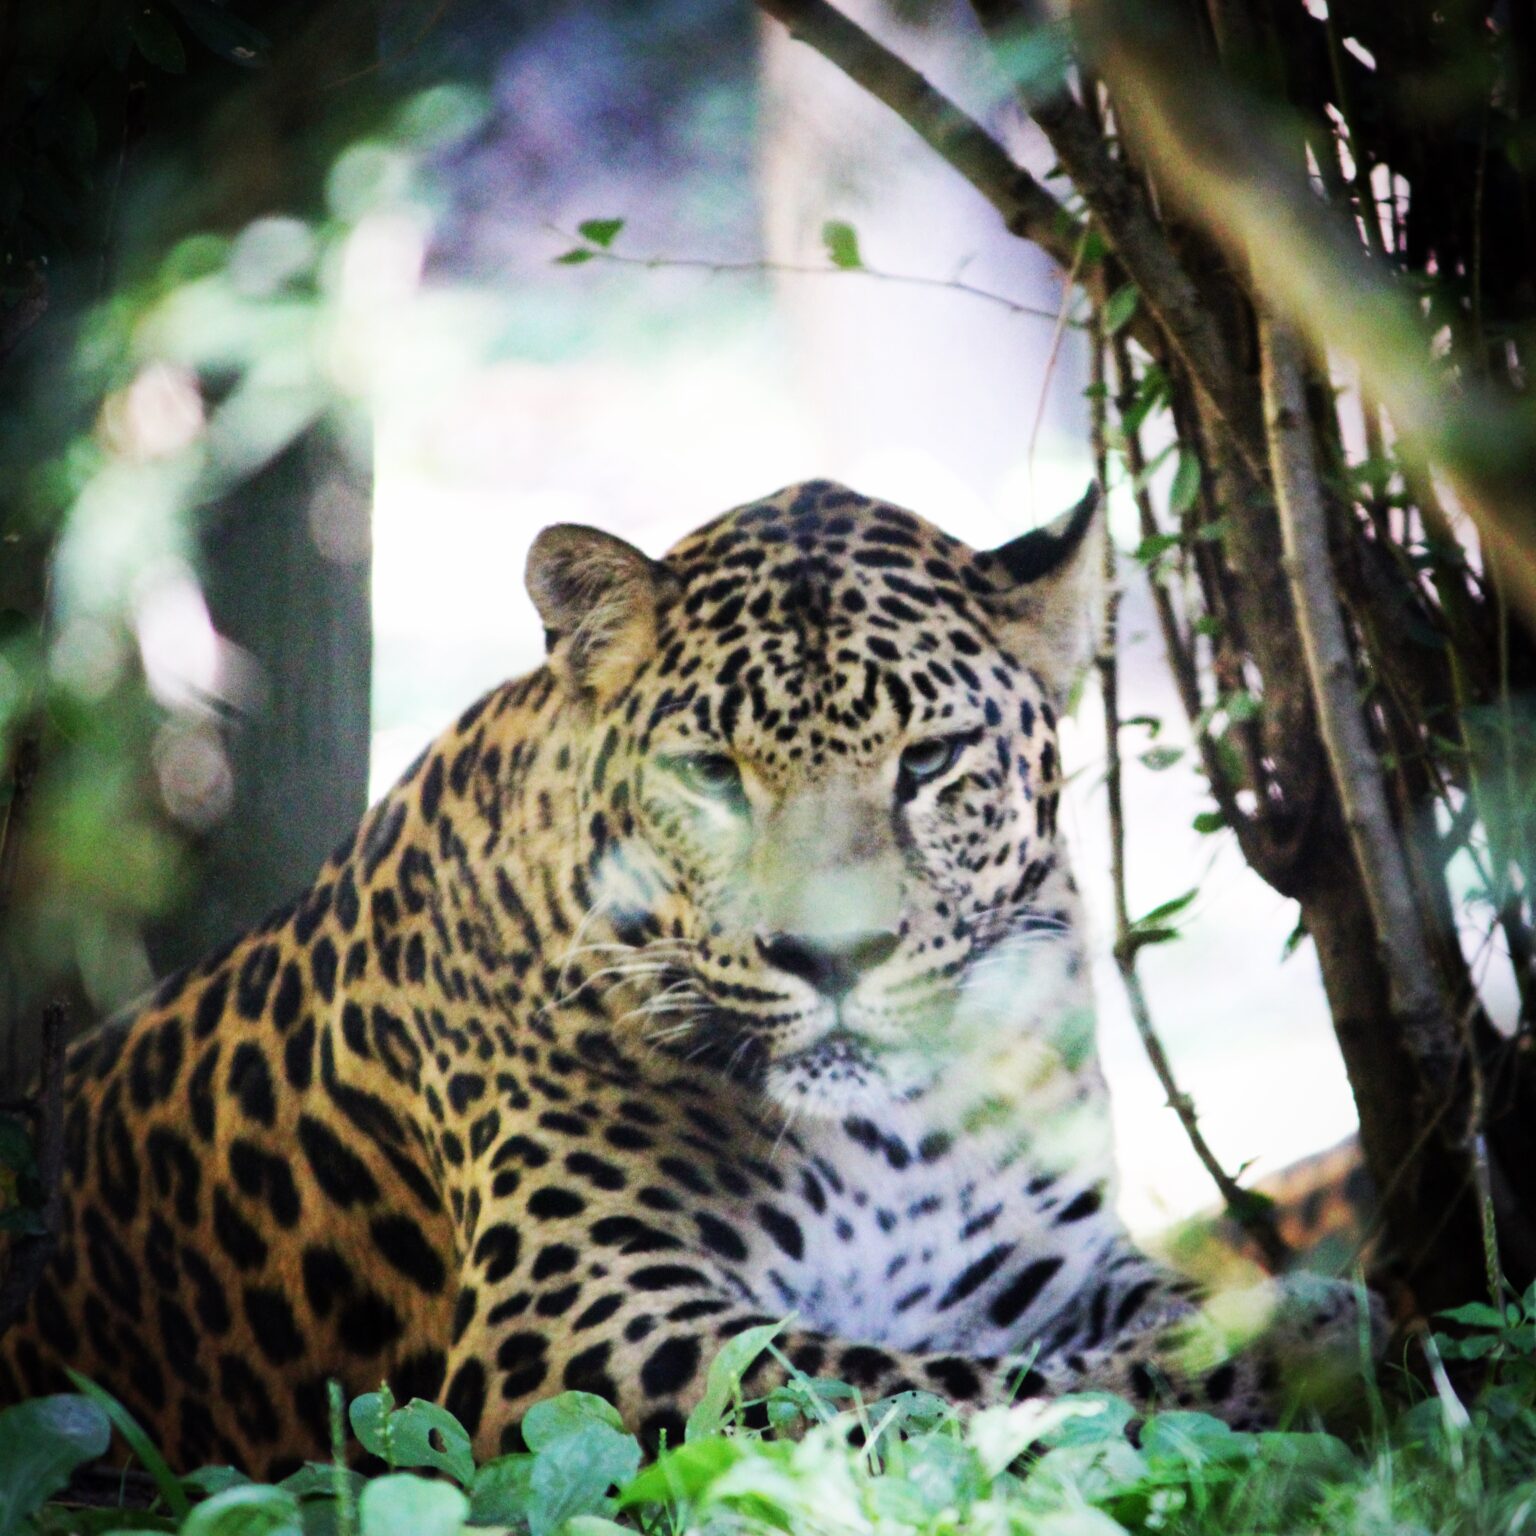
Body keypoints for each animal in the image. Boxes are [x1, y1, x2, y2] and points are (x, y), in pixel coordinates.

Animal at [0, 480, 1377, 1479]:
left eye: (931, 761)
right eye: (712, 772)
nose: (832, 957)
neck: (883, 1137)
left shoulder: (1044, 1257)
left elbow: (1179, 1301)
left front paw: (1306, 1323)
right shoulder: (573, 1331)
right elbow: (913, 1384)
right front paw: (1297, 1353)